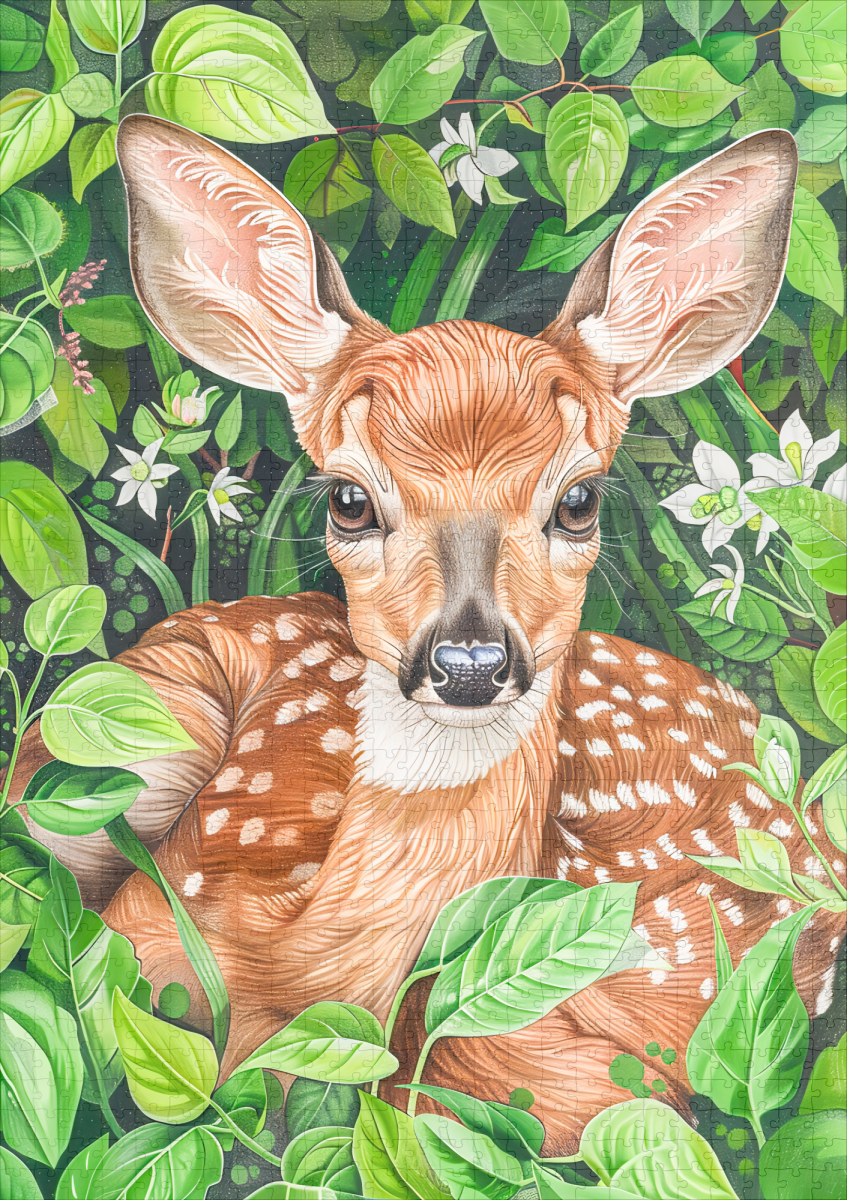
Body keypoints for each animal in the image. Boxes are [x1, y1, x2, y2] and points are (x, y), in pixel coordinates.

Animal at [10, 115, 844, 1153]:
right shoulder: (132, 944)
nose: (470, 663)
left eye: (577, 500)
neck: (311, 985)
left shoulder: (619, 1089)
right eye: (349, 498)